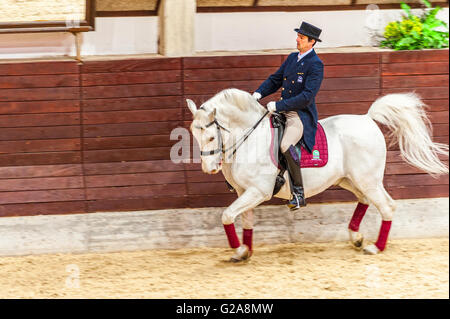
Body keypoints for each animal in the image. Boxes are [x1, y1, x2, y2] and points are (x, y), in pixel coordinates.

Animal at [185, 89, 446, 262]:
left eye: (211, 137)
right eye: (195, 136)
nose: (209, 168)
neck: (250, 138)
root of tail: (367, 119)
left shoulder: (257, 191)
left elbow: (227, 215)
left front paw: (238, 249)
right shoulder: (244, 191)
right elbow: (244, 221)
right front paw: (244, 251)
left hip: (368, 179)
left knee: (387, 206)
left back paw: (375, 247)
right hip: (349, 180)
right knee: (364, 200)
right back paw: (356, 237)